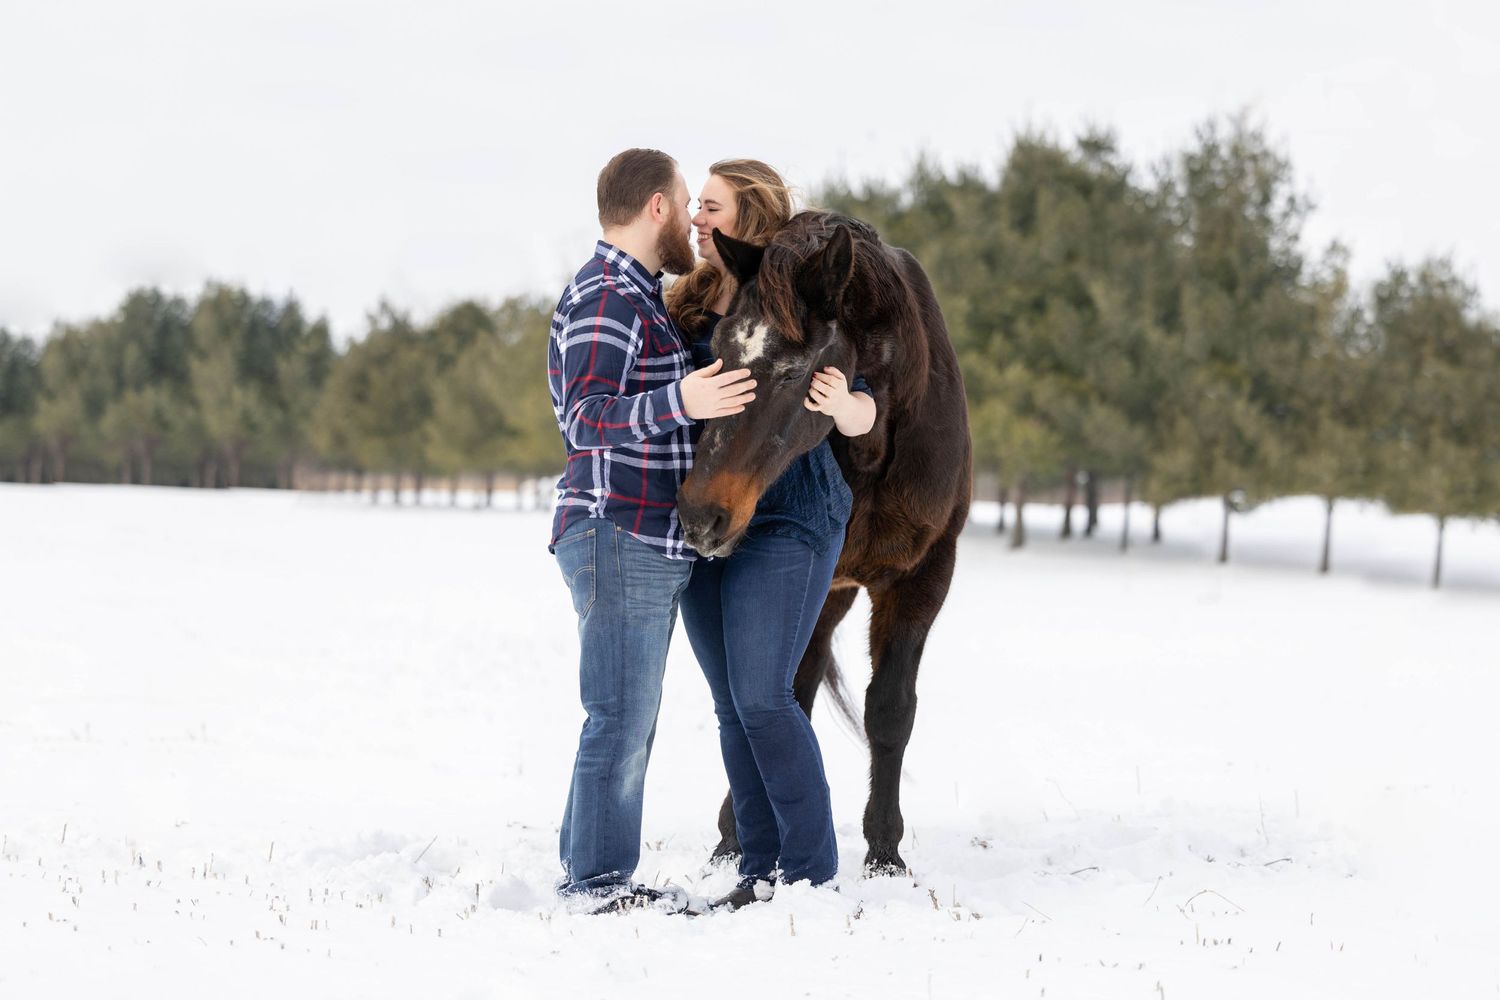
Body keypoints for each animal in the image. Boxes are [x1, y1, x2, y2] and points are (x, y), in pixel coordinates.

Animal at [676, 211, 972, 875]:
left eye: (792, 371)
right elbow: (781, 698)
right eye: (717, 353)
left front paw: (885, 854)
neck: (876, 443)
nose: (700, 515)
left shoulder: (924, 576)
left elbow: (889, 709)